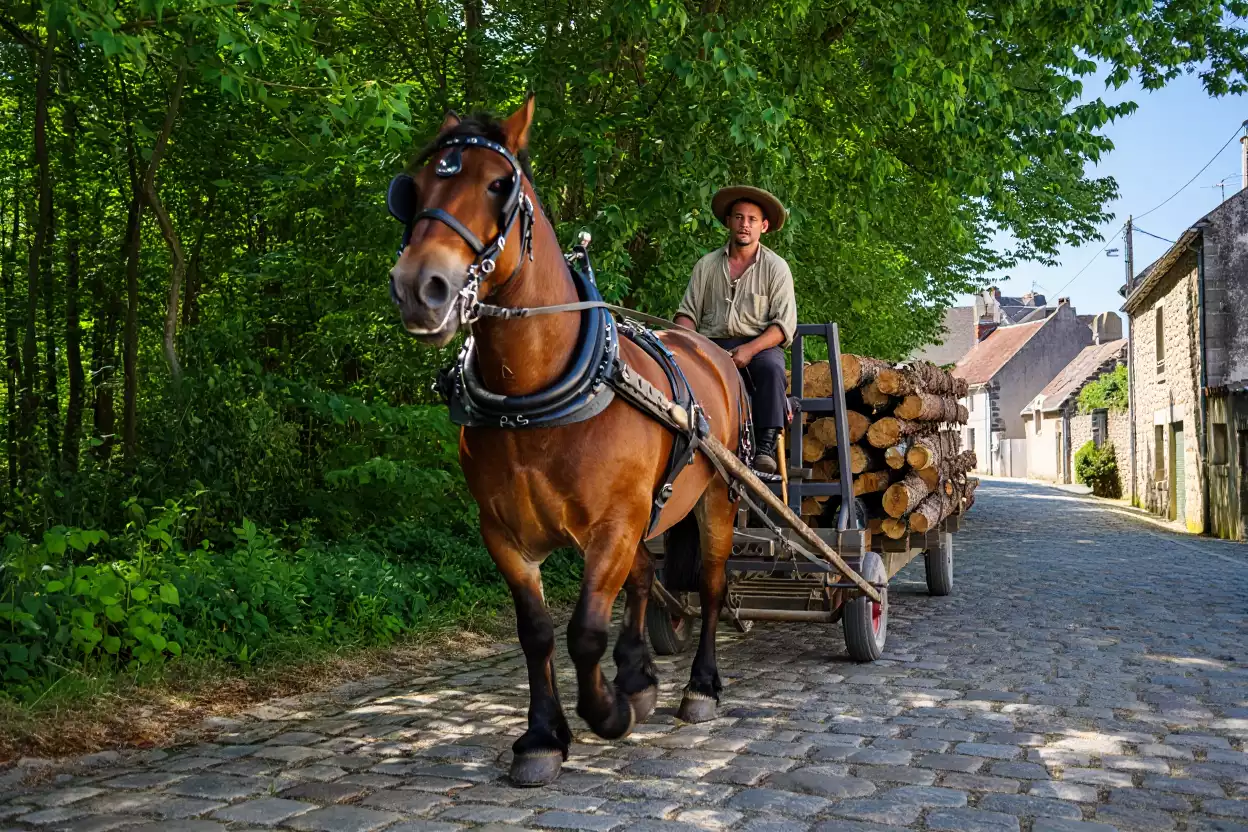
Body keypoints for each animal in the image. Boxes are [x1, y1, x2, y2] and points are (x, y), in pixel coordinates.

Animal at [386, 95, 750, 786]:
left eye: (498, 186)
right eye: (412, 188)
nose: (420, 287)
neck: (538, 396)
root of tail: (715, 351)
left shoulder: (612, 524)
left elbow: (583, 630)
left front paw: (605, 714)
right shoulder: (502, 530)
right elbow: (536, 631)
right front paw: (542, 738)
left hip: (718, 495)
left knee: (713, 587)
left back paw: (700, 687)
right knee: (644, 580)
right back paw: (639, 675)